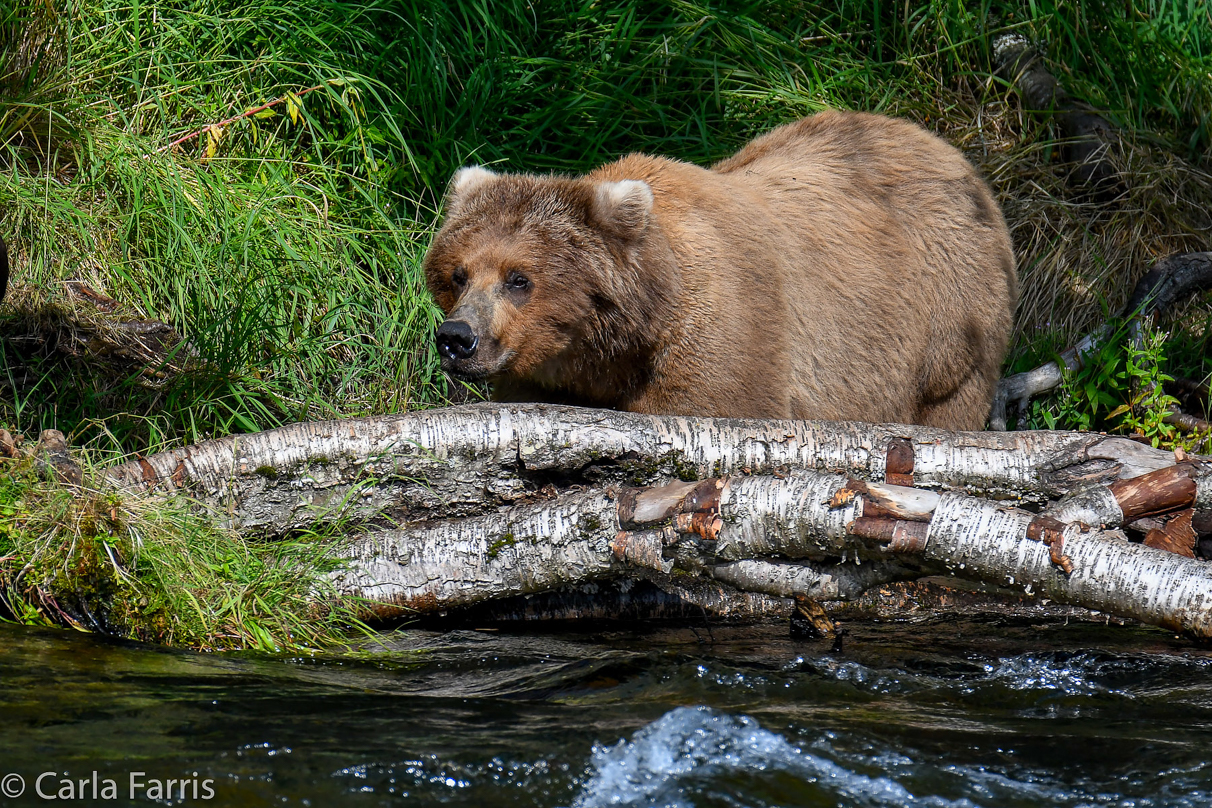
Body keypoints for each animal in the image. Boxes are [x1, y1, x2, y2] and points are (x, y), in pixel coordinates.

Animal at [424, 112, 1013, 436]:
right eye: (458, 273)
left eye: (518, 278)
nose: (457, 337)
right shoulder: (548, 376)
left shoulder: (725, 332)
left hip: (946, 325)